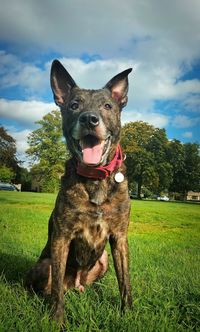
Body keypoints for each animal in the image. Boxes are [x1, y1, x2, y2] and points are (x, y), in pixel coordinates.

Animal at [26, 59, 133, 322]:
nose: (89, 119)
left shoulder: (119, 238)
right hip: (45, 265)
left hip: (103, 261)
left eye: (107, 105)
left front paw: (128, 314)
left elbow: (125, 282)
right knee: (44, 286)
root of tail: (75, 284)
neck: (95, 179)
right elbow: (56, 291)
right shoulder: (61, 238)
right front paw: (57, 320)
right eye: (74, 105)